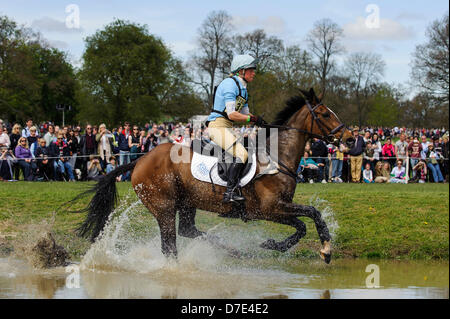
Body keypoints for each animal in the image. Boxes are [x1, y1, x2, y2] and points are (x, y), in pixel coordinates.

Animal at [74, 88, 356, 264]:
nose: (350, 138)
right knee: (170, 244)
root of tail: (141, 159)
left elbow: (302, 225)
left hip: (187, 202)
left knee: (188, 231)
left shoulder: (277, 208)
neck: (278, 158)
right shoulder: (270, 208)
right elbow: (311, 216)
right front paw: (326, 250)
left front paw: (272, 245)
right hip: (164, 207)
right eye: (325, 114)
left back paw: (230, 250)